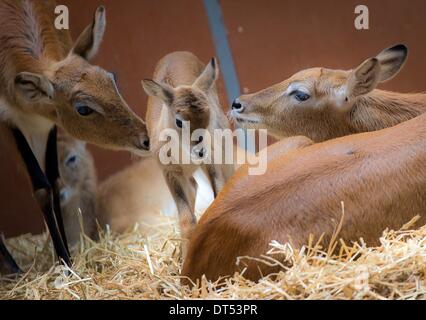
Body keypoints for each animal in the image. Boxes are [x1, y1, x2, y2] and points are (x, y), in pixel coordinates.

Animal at [0, 0, 150, 270]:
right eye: (83, 108)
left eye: (113, 78)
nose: (146, 138)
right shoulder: (9, 120)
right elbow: (41, 188)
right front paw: (64, 264)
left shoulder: (47, 124)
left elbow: (52, 180)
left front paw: (67, 257)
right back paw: (14, 270)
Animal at [141, 51, 233, 249]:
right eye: (179, 120)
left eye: (207, 115)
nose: (200, 151)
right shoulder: (170, 172)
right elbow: (186, 219)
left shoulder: (211, 161)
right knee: (193, 188)